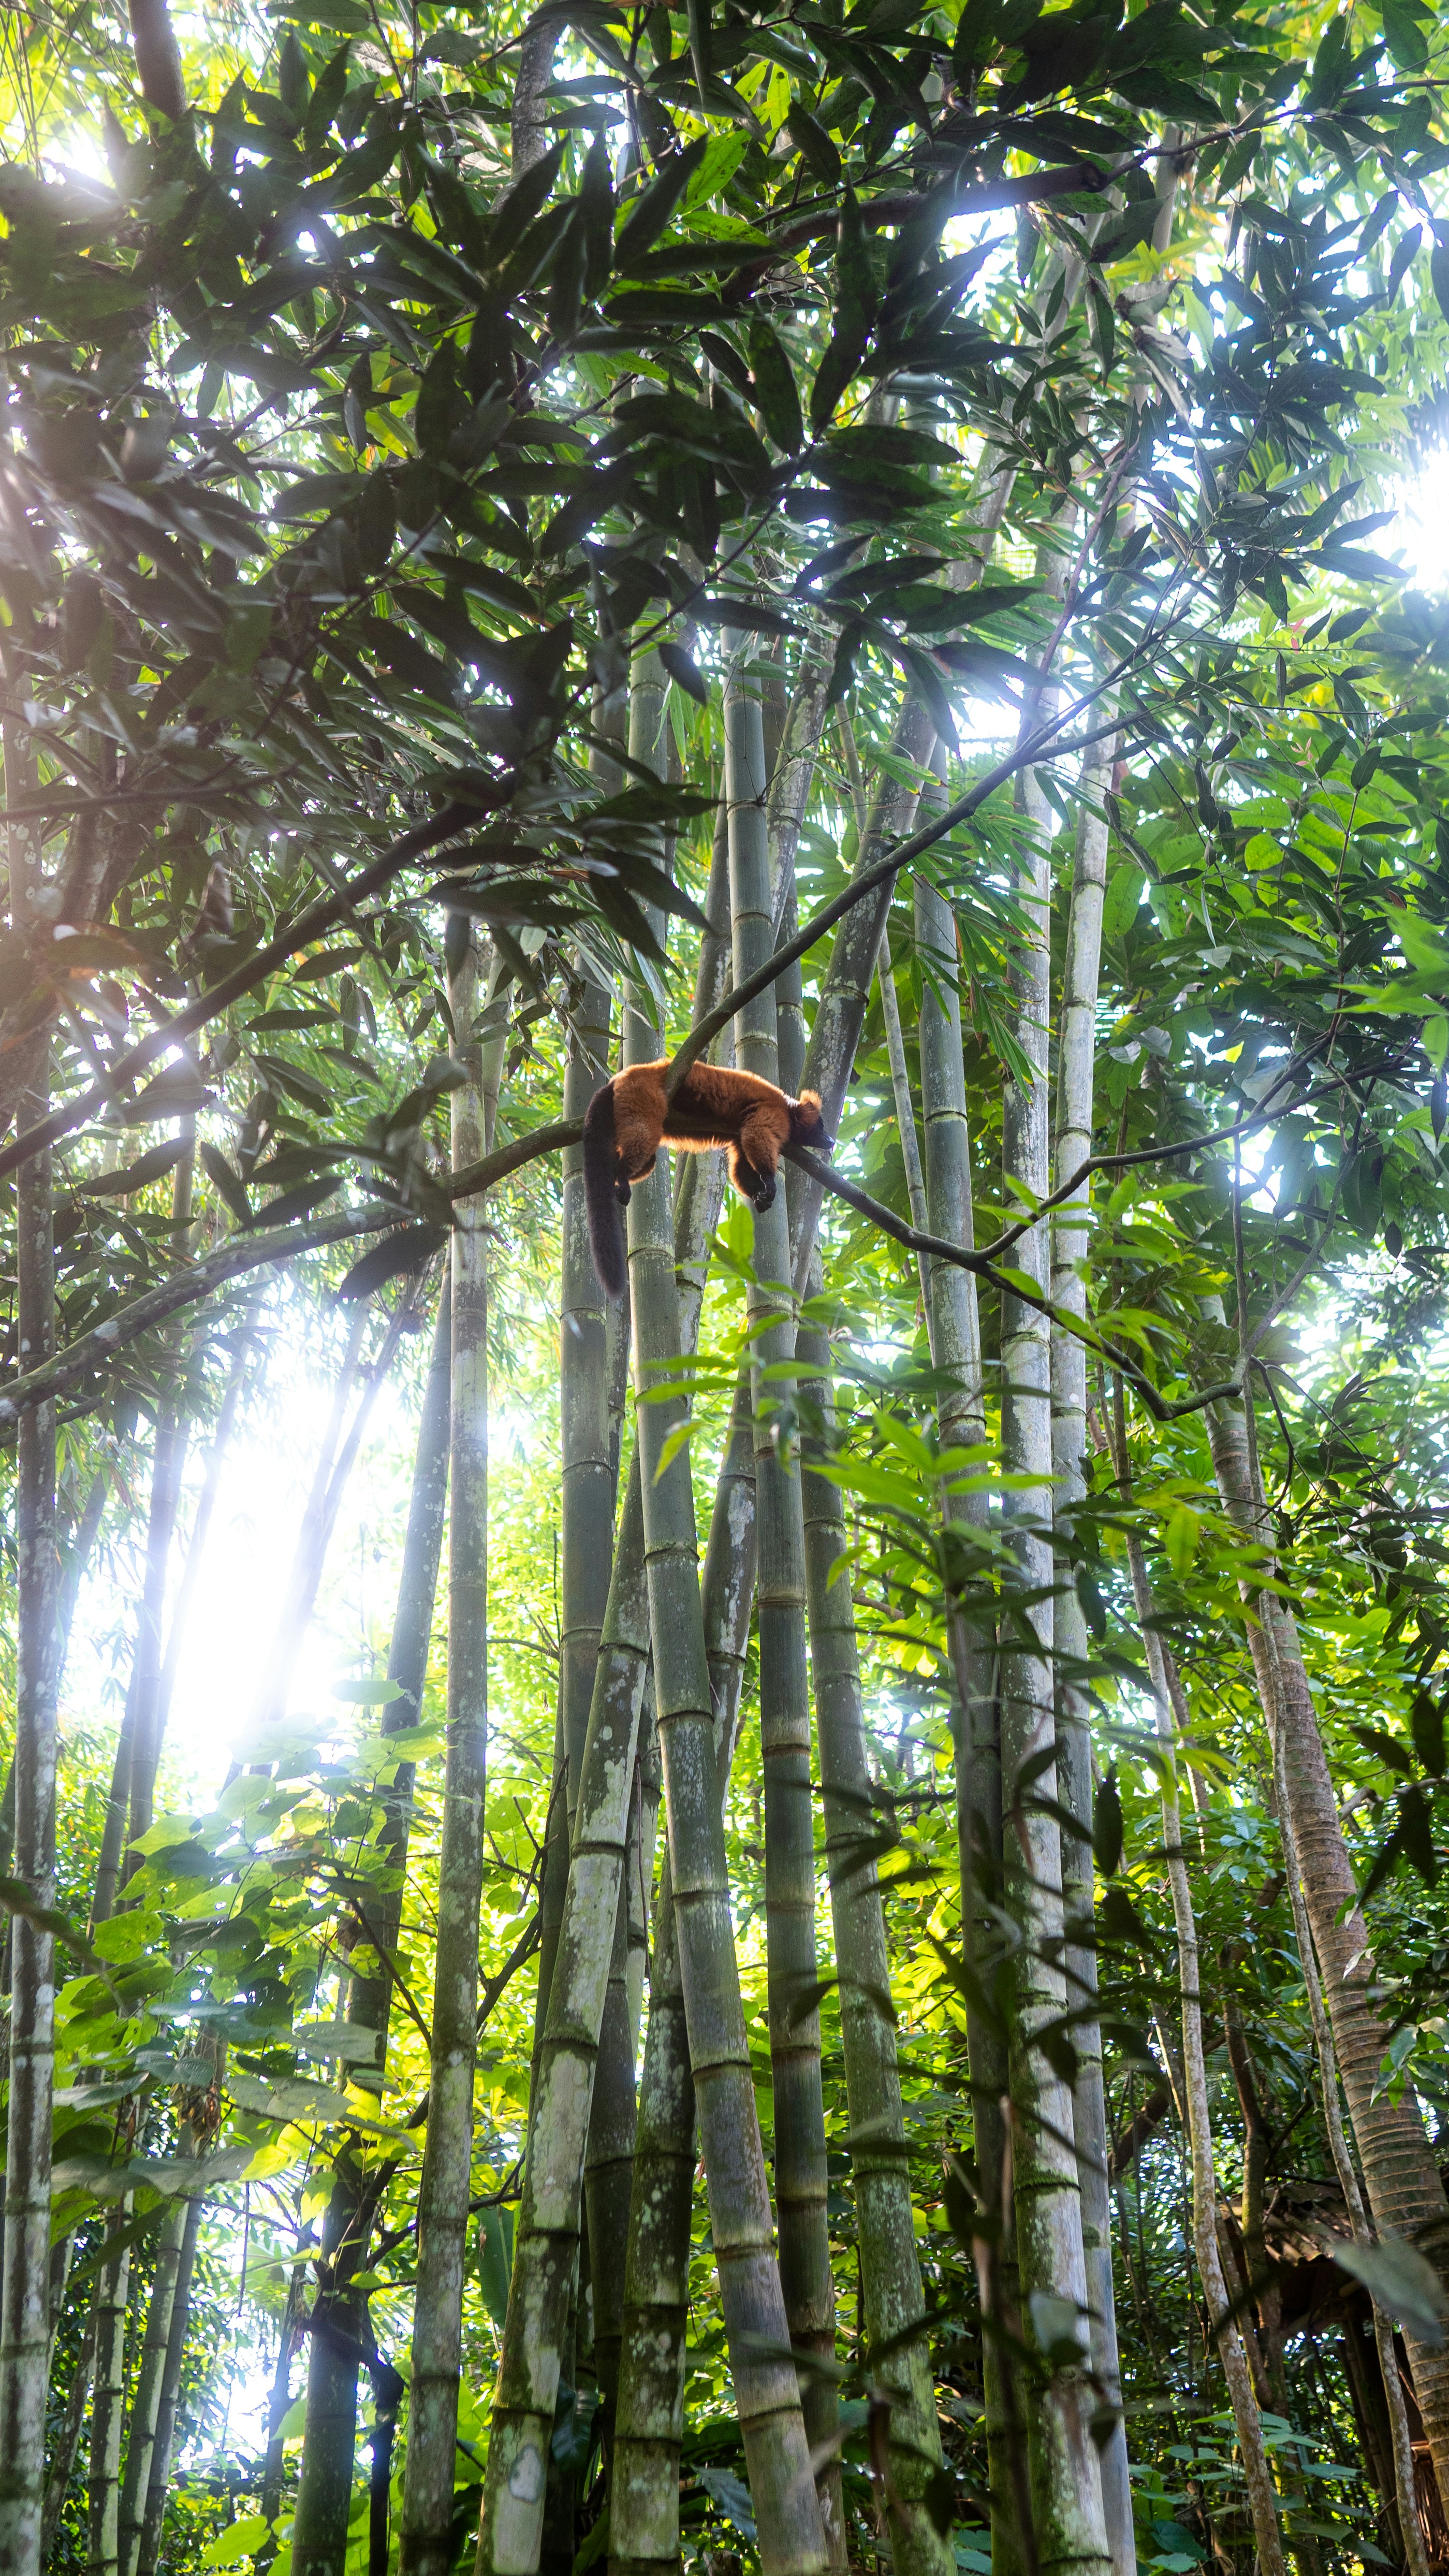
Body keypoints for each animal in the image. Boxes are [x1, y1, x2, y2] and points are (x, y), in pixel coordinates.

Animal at [582, 1059, 833, 1299]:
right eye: (821, 1126)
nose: (831, 1140)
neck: (789, 1110)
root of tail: (624, 1076)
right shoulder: (772, 1111)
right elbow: (758, 1134)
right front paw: (770, 1181)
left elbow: (743, 1167)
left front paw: (760, 1197)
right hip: (642, 1092)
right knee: (644, 1132)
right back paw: (621, 1174)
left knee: (647, 1156)